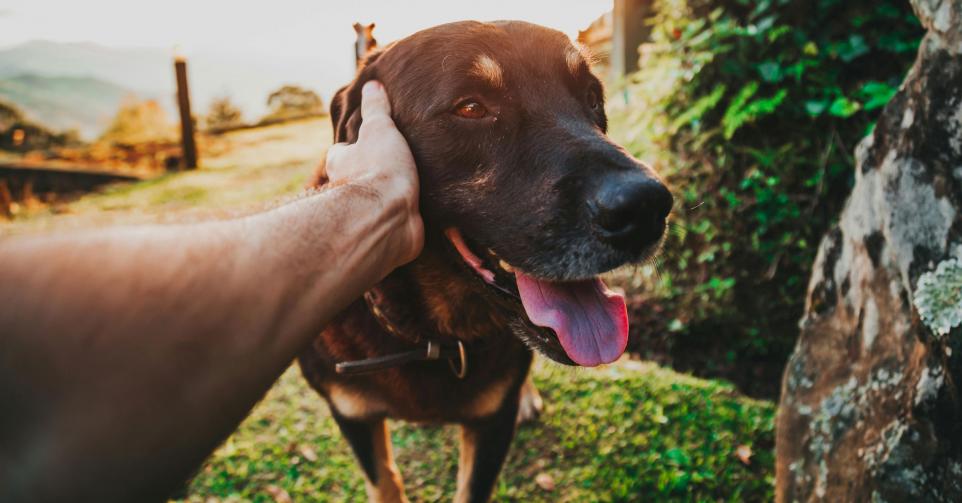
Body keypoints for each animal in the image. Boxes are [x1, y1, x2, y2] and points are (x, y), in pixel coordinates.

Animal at [296, 20, 672, 503]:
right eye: (471, 107)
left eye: (591, 97)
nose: (648, 209)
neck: (432, 336)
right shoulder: (353, 415)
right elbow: (385, 481)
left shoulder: (492, 423)